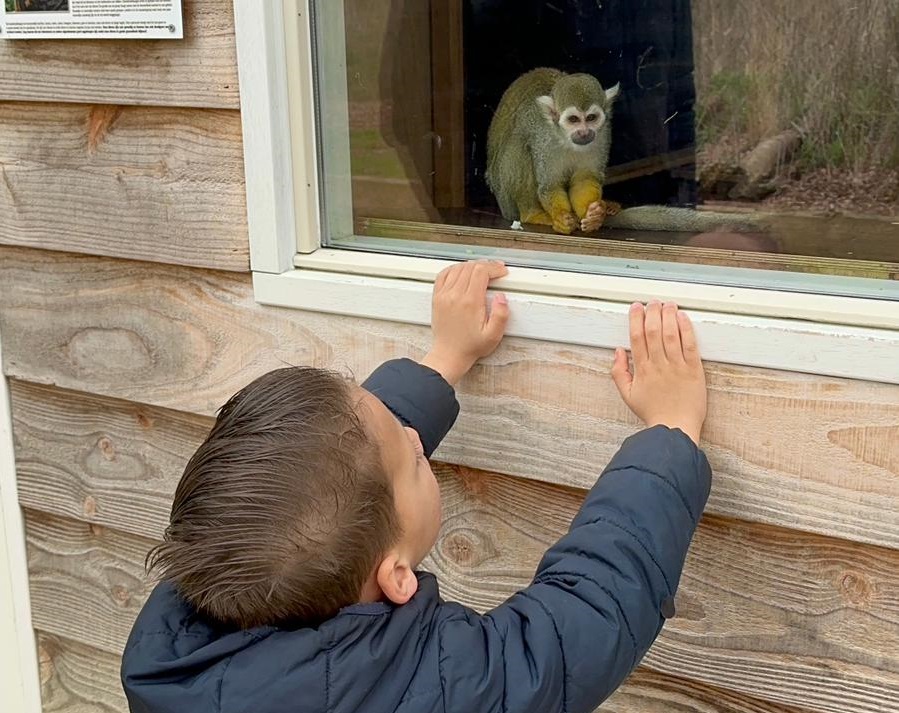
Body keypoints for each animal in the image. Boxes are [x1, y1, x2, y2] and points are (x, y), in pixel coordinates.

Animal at [486, 68, 620, 234]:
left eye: (591, 118)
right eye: (573, 119)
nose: (584, 133)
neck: (565, 139)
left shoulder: (603, 136)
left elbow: (584, 179)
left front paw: (593, 217)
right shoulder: (544, 139)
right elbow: (549, 185)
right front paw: (561, 217)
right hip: (504, 197)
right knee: (519, 145)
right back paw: (531, 214)